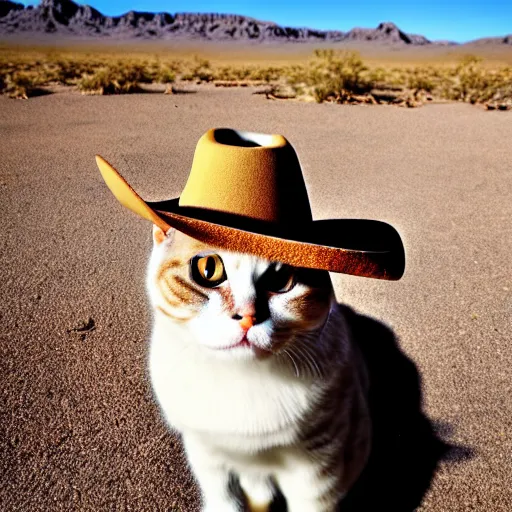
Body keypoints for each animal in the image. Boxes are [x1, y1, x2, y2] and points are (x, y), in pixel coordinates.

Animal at [146, 227, 370, 512]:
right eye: (209, 269)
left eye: (281, 278)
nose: (248, 316)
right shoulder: (206, 452)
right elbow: (224, 497)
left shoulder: (318, 468)